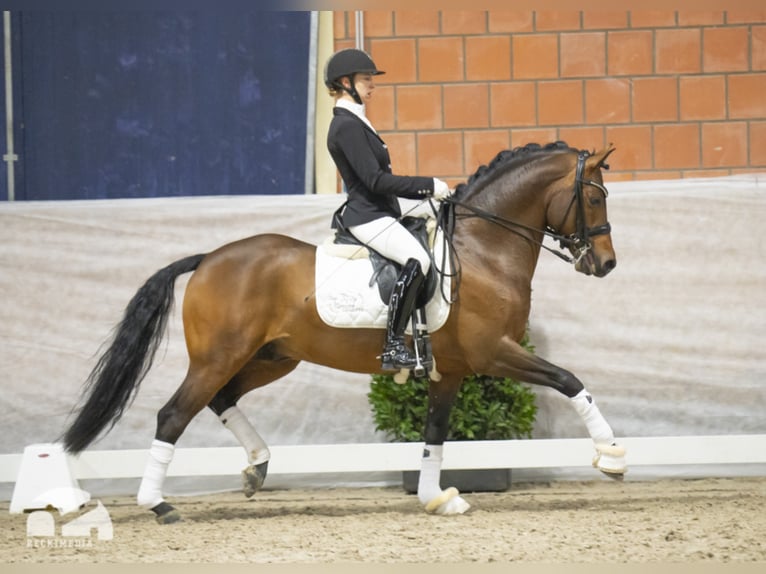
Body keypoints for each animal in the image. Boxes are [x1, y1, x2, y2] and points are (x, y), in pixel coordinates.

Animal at [60, 142, 624, 524]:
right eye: (595, 198)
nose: (606, 264)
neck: (482, 250)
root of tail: (208, 259)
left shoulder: (451, 370)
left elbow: (434, 434)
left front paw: (436, 499)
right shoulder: (493, 353)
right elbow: (570, 380)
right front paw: (611, 456)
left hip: (271, 357)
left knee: (222, 399)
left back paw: (257, 468)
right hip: (220, 357)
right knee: (174, 414)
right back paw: (159, 504)